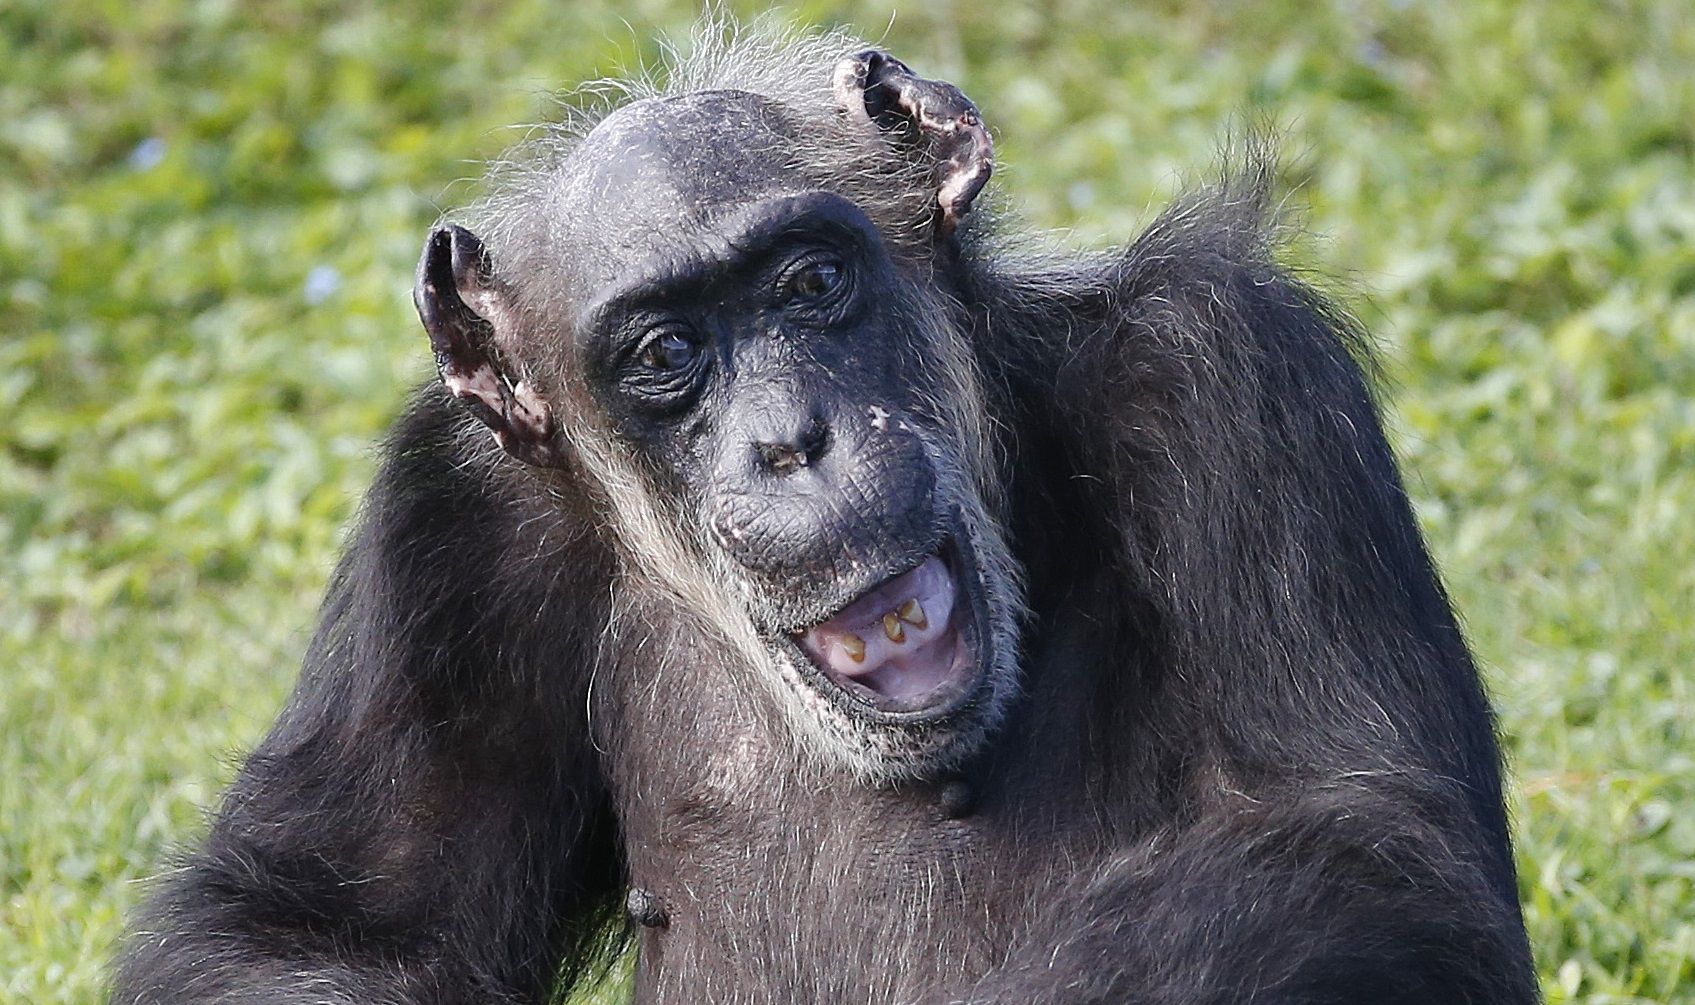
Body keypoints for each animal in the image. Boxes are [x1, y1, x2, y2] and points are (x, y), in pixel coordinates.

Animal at [109, 23, 1539, 1003]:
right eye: (665, 356)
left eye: (808, 283)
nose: (790, 441)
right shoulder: (449, 530)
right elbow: (321, 922)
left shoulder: (1229, 374)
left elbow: (1357, 845)